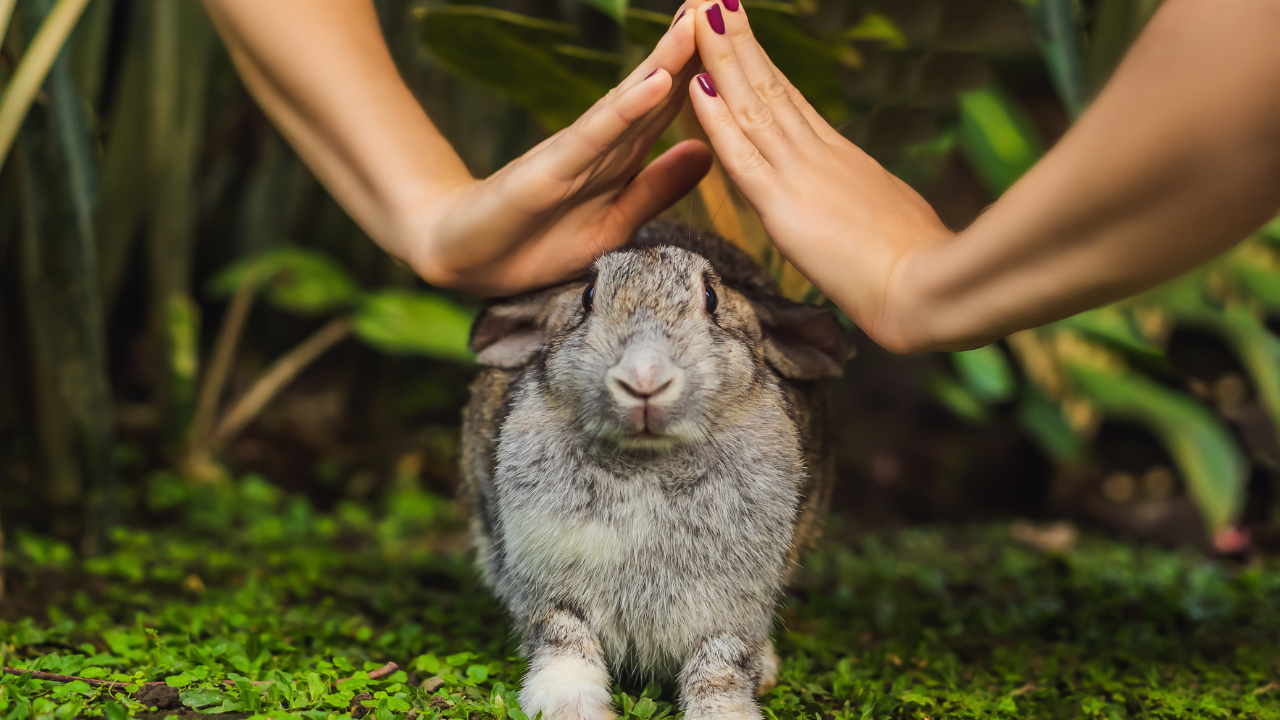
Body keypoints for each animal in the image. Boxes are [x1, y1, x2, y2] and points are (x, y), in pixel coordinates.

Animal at [459, 221, 849, 720]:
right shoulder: (545, 584)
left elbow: (719, 663)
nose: (644, 378)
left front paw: (725, 711)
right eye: (587, 296)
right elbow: (563, 635)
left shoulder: (734, 605)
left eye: (711, 298)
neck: (648, 459)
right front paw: (570, 704)